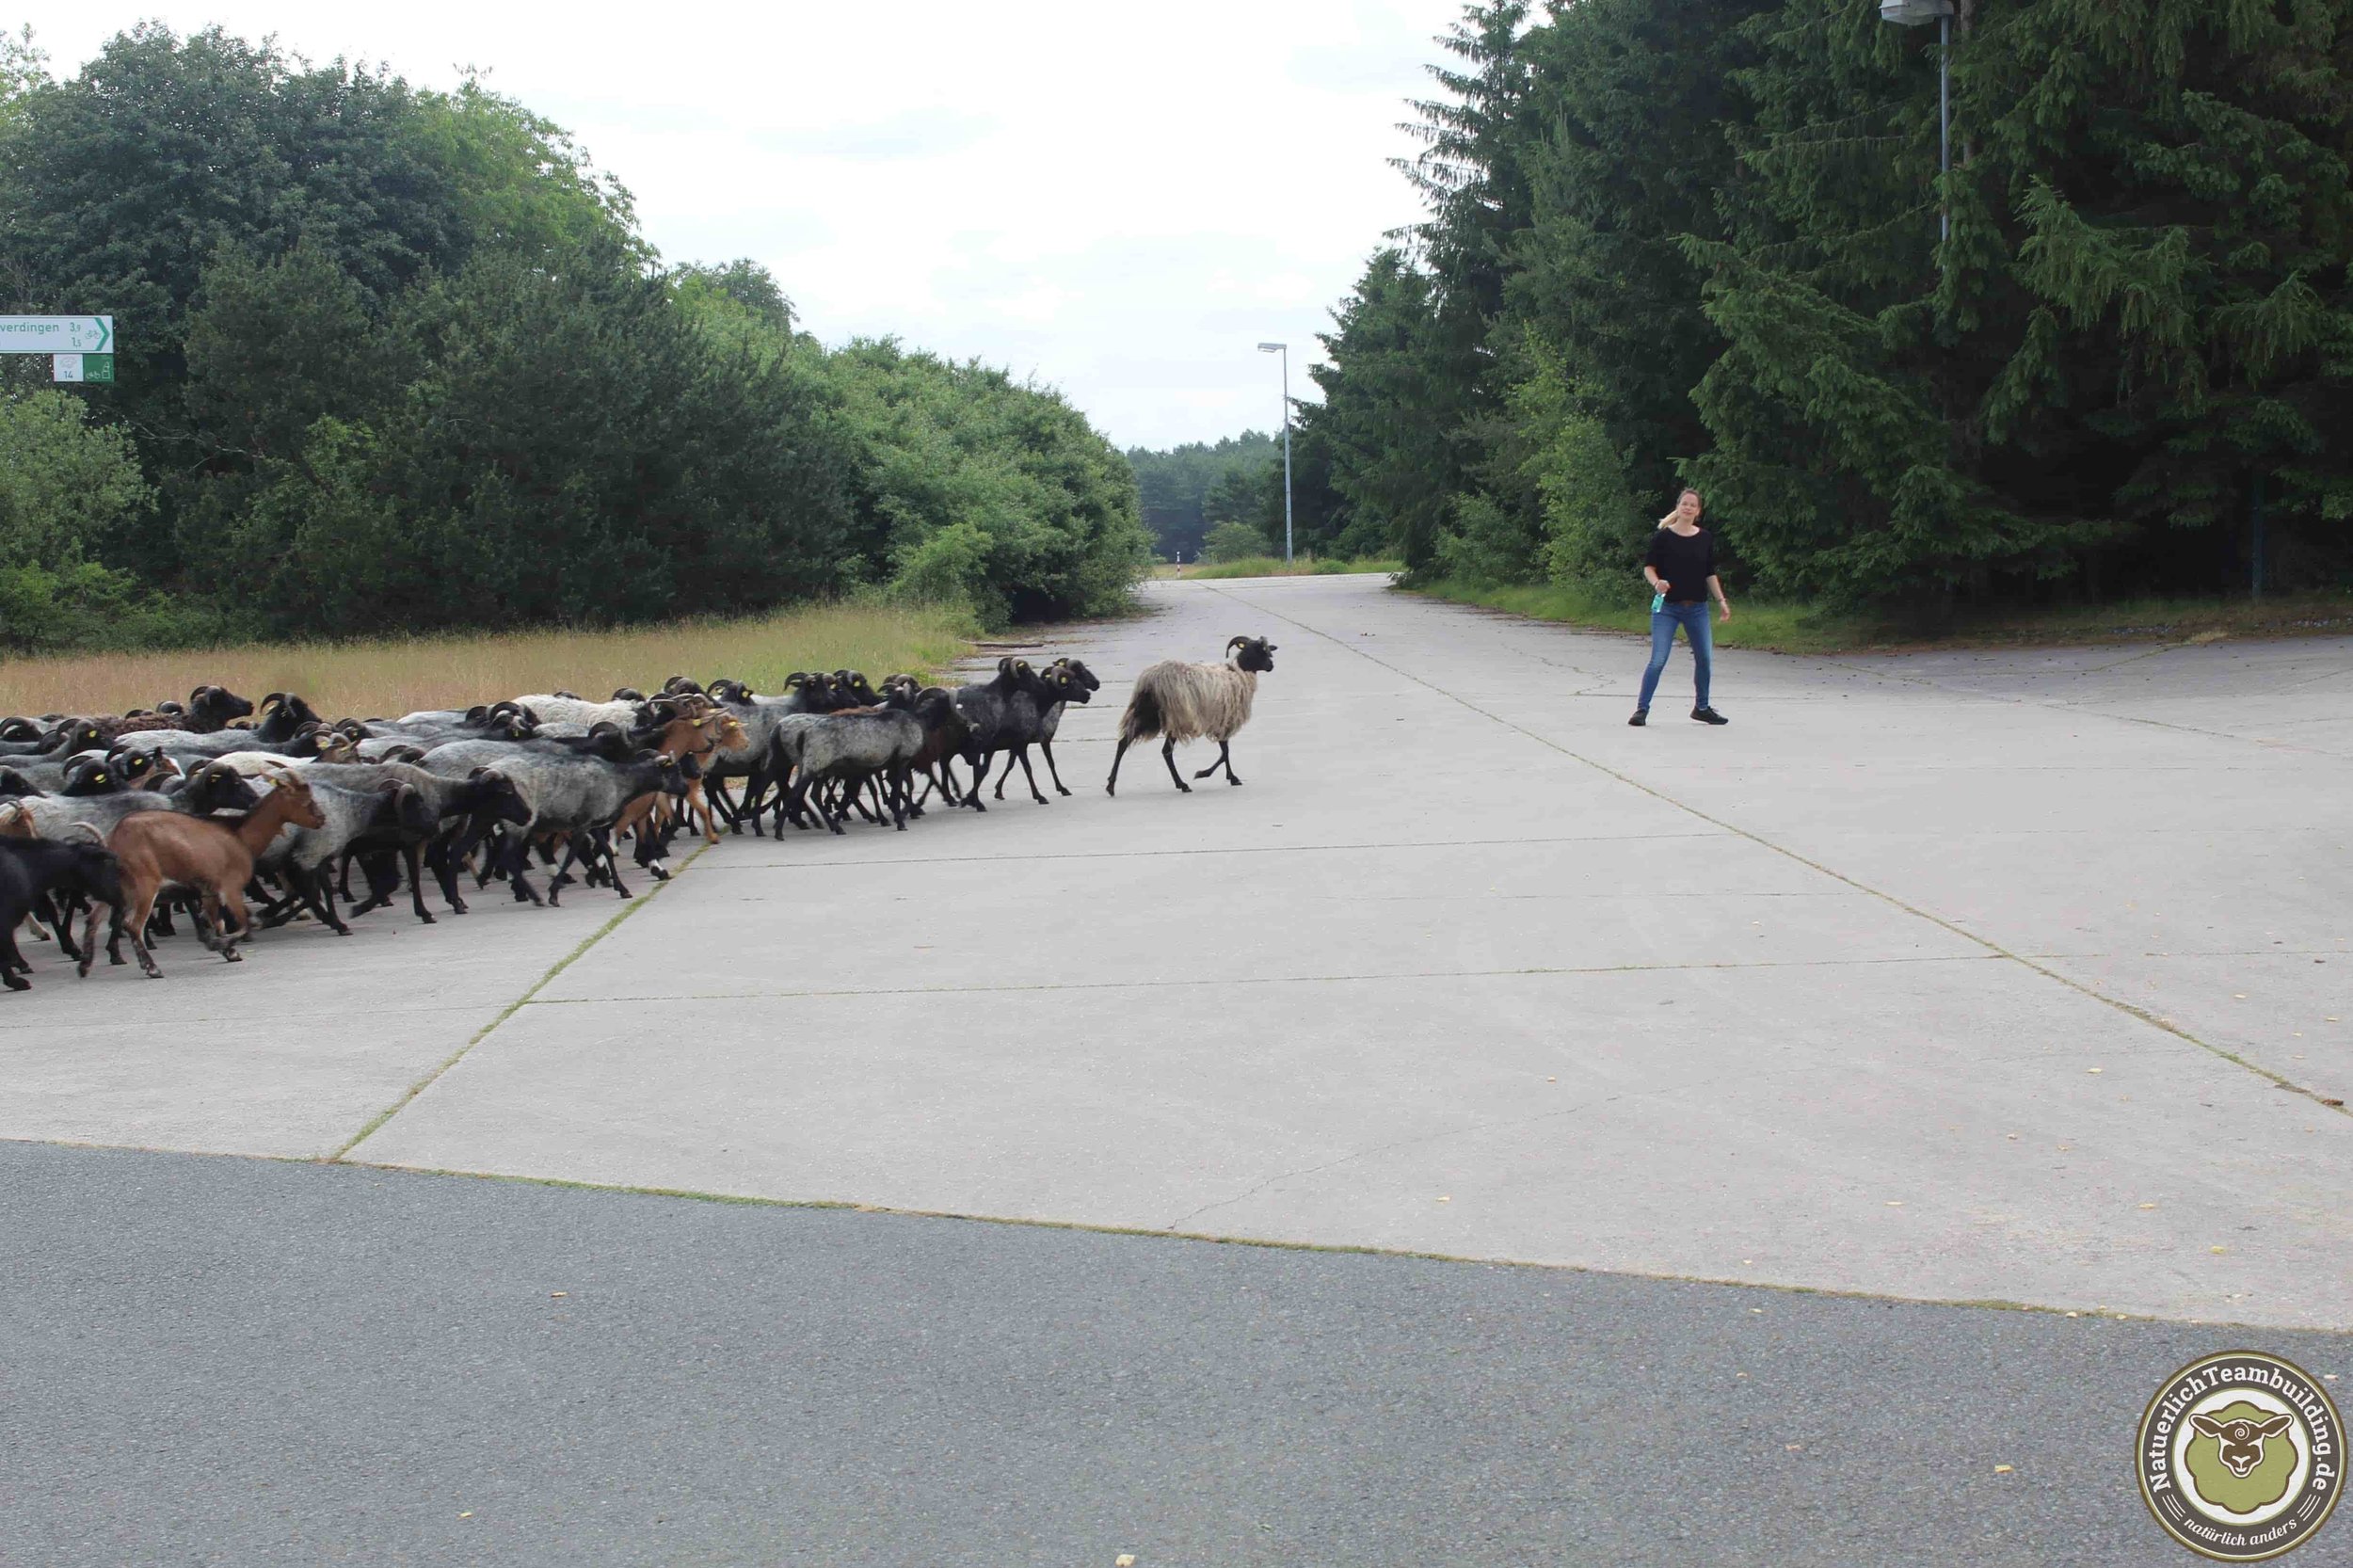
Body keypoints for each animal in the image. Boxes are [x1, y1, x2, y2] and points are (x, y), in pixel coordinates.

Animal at [84, 762, 327, 969]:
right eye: (306, 801)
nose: (321, 819)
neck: (240, 834)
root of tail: (115, 838)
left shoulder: (209, 892)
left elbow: (216, 922)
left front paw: (227, 950)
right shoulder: (230, 888)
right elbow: (243, 924)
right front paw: (221, 944)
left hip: (120, 886)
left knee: (95, 919)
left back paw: (87, 963)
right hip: (145, 884)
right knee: (133, 925)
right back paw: (151, 967)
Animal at [1106, 631, 1280, 795]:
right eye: (1260, 651)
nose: (1271, 666)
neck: (1239, 673)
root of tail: (1150, 680)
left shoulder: (1221, 721)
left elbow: (1225, 751)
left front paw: (1229, 777)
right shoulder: (1223, 720)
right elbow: (1225, 752)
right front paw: (1207, 774)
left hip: (1145, 715)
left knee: (1123, 743)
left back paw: (1111, 785)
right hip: (1176, 717)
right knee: (1165, 751)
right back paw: (1182, 785)